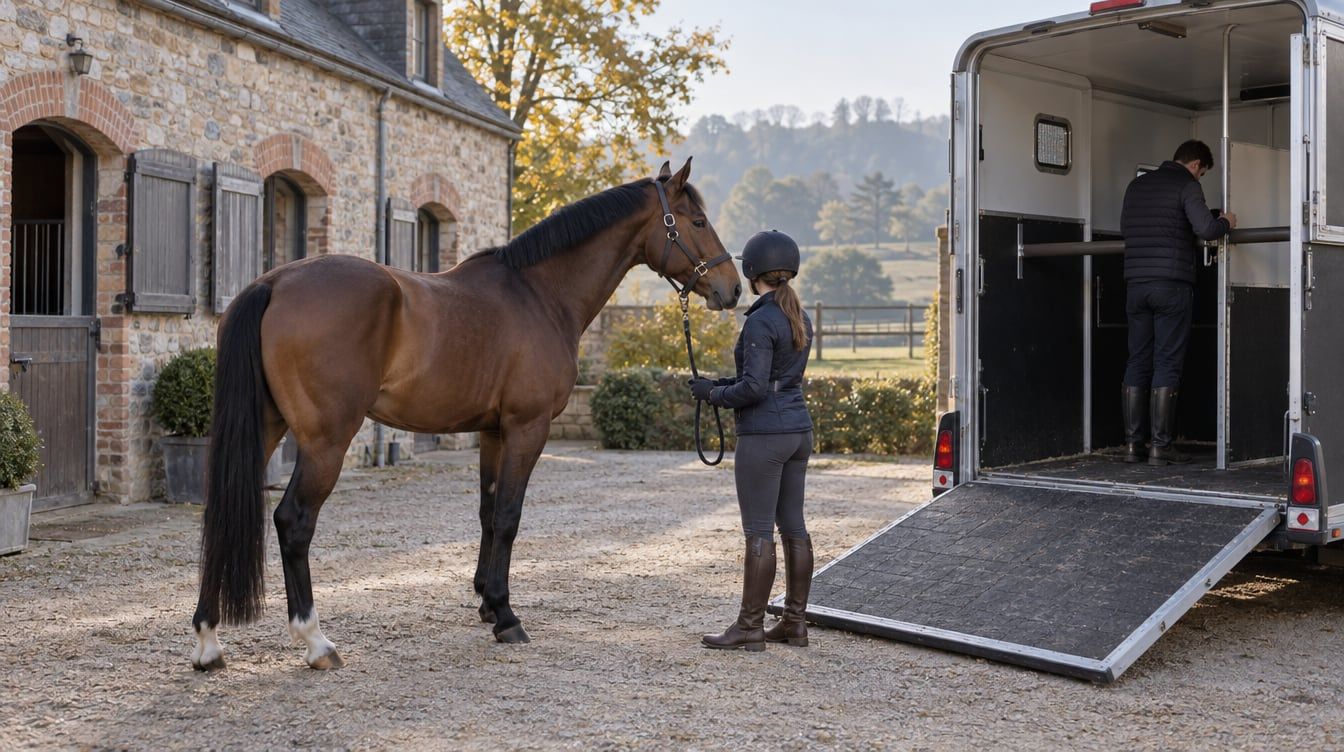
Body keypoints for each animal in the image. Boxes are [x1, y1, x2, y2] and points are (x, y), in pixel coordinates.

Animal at [190, 159, 741, 671]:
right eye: (696, 220)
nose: (732, 289)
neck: (540, 294)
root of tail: (274, 283)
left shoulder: (492, 433)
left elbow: (487, 513)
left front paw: (486, 603)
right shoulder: (527, 428)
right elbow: (510, 516)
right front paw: (507, 616)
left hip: (266, 428)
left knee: (219, 512)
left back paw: (208, 641)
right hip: (325, 440)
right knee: (294, 520)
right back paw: (316, 641)